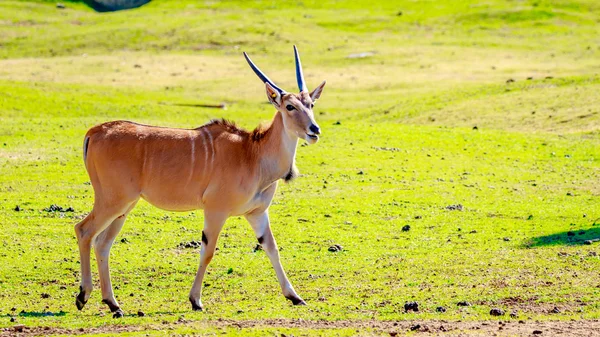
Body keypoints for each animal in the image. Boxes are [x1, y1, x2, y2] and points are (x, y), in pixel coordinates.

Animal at [75, 46, 328, 316]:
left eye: (311, 104)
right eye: (290, 106)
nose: (314, 130)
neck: (252, 153)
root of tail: (95, 132)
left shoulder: (257, 213)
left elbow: (272, 248)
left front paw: (295, 296)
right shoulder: (216, 210)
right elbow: (207, 252)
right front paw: (195, 300)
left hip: (124, 206)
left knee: (102, 243)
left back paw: (113, 304)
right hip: (112, 201)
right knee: (84, 230)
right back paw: (82, 295)